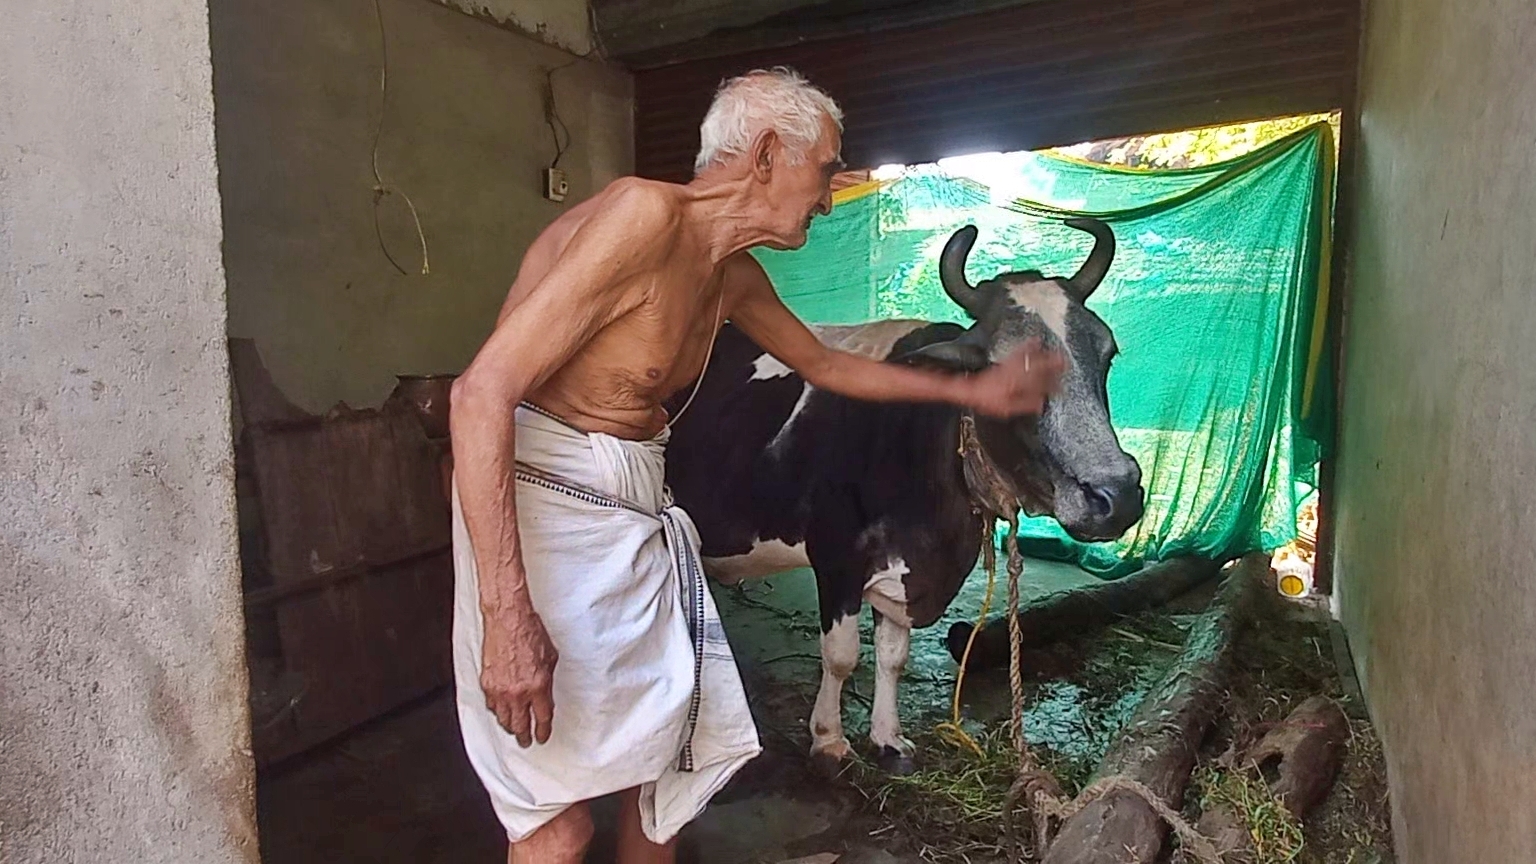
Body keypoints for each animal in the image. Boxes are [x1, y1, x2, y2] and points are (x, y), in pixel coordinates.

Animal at [666, 218, 1148, 768]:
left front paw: (888, 737)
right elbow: (842, 655)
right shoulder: (836, 553)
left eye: (1107, 353)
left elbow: (894, 656)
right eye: (1006, 374)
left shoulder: (907, 564)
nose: (1117, 493)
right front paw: (829, 738)